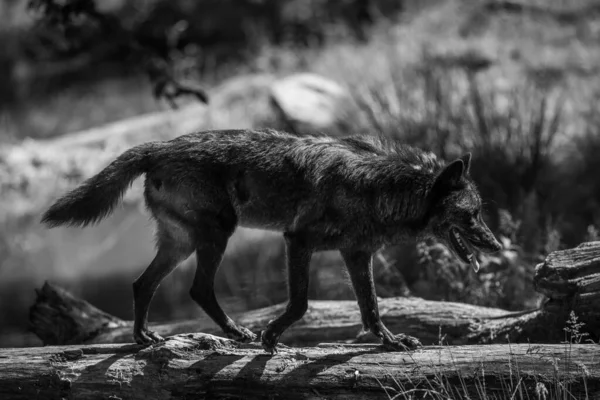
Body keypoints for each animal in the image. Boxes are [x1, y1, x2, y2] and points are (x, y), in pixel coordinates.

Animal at [41, 130, 502, 352]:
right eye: (472, 214)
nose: (497, 246)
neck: (377, 187)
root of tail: (160, 144)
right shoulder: (297, 240)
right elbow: (300, 304)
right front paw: (271, 337)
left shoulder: (356, 255)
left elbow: (371, 309)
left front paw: (390, 343)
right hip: (216, 234)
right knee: (197, 288)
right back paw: (237, 333)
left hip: (183, 243)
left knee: (143, 284)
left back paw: (144, 338)